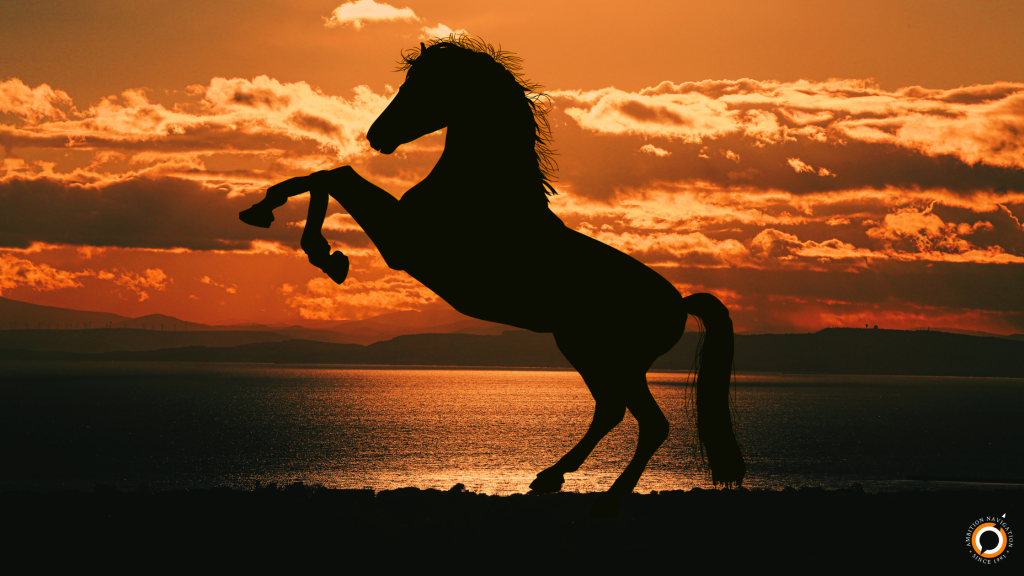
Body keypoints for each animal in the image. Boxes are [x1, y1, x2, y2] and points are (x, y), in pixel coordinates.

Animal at [239, 36, 744, 515]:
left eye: (423, 85)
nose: (376, 135)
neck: (482, 190)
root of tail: (679, 303)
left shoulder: (403, 242)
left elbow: (334, 175)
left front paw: (321, 252)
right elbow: (326, 174)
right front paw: (268, 214)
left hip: (611, 357)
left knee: (648, 423)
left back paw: (605, 501)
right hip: (586, 351)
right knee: (611, 411)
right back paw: (550, 477)